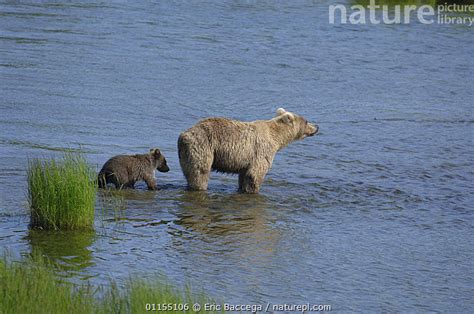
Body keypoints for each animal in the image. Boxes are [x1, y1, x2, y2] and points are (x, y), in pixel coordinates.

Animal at [177, 108, 318, 194]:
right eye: (306, 121)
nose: (317, 126)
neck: (277, 138)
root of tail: (183, 135)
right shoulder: (262, 151)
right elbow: (255, 174)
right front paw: (253, 190)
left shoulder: (247, 159)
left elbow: (244, 175)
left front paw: (242, 188)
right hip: (203, 147)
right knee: (200, 173)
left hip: (186, 153)